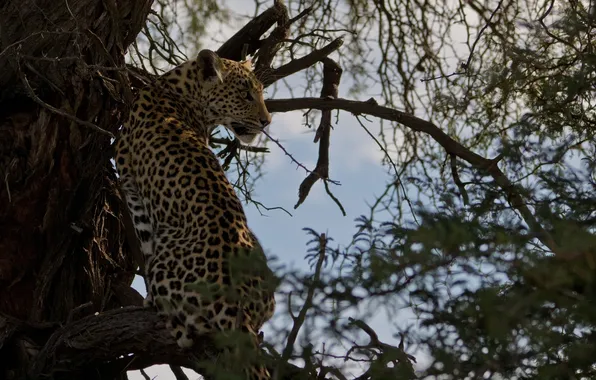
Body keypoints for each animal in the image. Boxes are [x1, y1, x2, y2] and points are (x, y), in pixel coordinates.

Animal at [113, 49, 278, 378]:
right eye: (246, 94)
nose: (266, 121)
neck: (181, 88)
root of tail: (235, 300)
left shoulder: (130, 184)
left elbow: (145, 239)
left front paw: (148, 300)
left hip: (167, 267)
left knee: (187, 330)